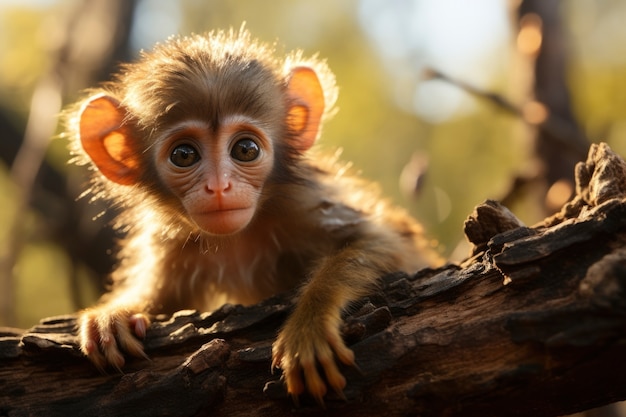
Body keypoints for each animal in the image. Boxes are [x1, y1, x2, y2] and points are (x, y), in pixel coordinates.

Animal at [67, 27, 438, 402]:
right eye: (184, 155)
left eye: (246, 149)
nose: (219, 187)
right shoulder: (173, 244)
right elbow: (160, 299)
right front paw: (116, 314)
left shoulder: (302, 200)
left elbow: (385, 242)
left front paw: (309, 325)